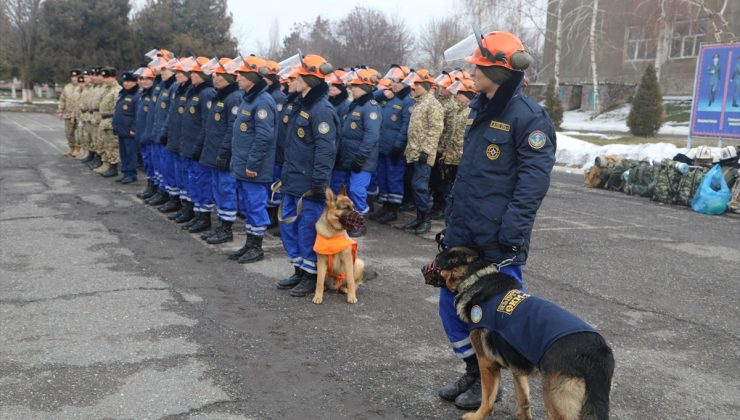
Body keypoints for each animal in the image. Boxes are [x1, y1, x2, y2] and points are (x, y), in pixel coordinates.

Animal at [434, 248, 612, 418]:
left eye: (436, 261)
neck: (476, 278)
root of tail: (598, 350)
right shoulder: (517, 367)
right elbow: (523, 399)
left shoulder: (486, 362)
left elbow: (487, 398)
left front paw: (477, 416)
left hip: (555, 401)